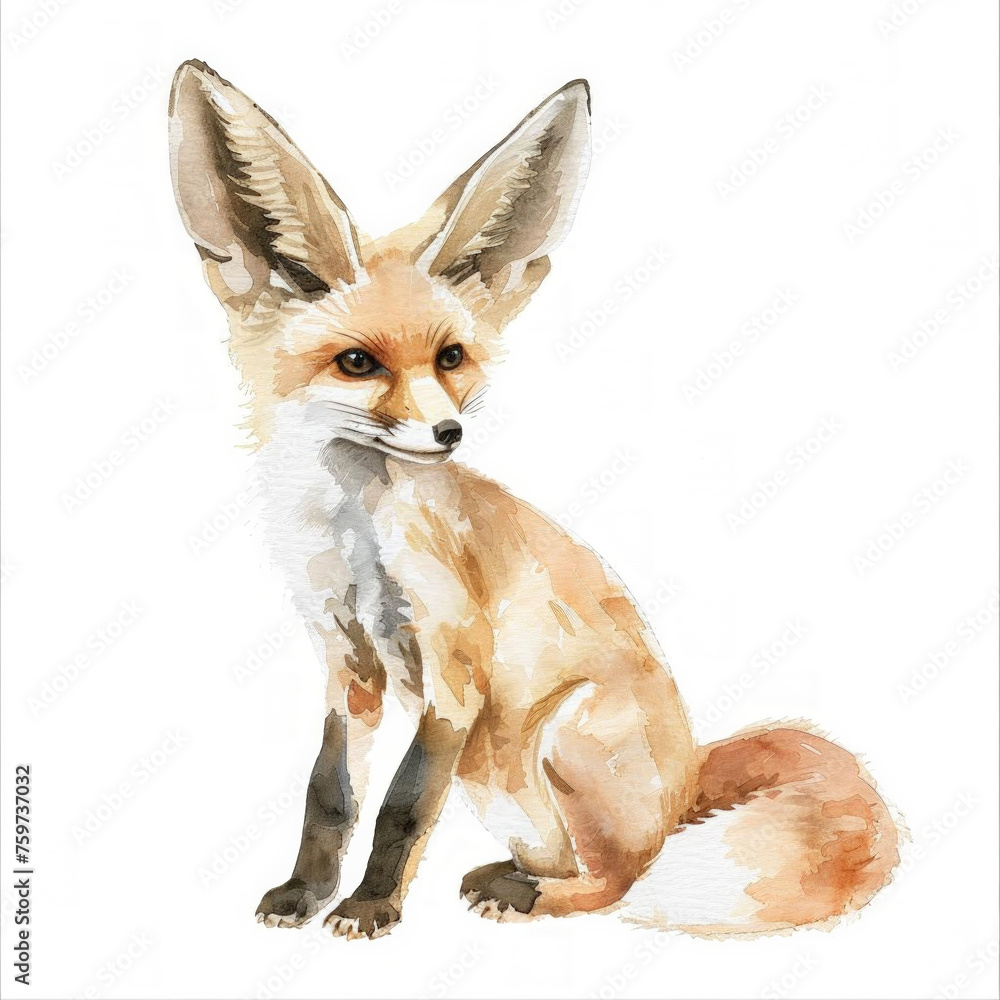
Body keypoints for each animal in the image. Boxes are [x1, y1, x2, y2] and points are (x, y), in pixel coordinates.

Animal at [168, 59, 899, 940]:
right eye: (357, 362)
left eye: (451, 357)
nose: (448, 433)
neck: (355, 540)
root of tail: (687, 779)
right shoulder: (348, 668)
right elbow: (329, 796)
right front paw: (304, 894)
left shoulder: (457, 670)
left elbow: (404, 807)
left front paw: (371, 907)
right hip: (498, 779)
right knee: (572, 860)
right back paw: (509, 875)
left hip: (547, 740)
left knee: (619, 880)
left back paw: (530, 896)